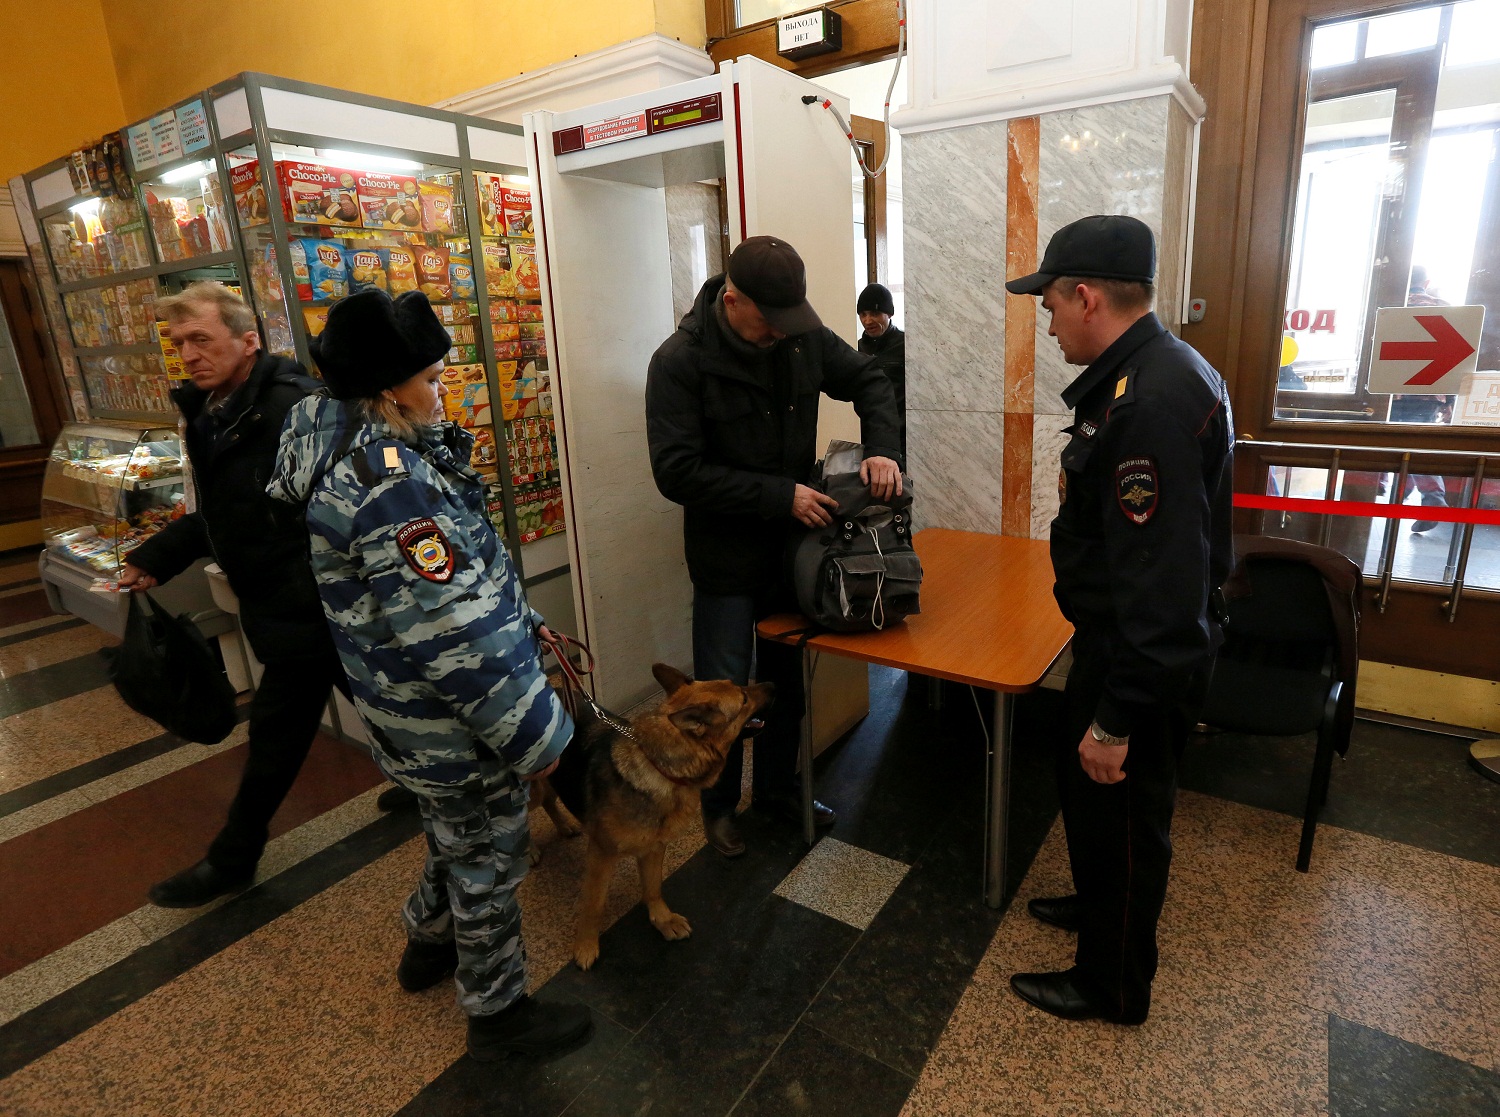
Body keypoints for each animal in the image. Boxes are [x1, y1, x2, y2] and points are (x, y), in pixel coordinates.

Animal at [546, 662, 774, 965]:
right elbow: (593, 904)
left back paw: (563, 827)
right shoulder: (600, 855)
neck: (658, 767)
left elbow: (653, 888)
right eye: (744, 698)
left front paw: (662, 920)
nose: (774, 684)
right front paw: (585, 944)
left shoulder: (654, 848)